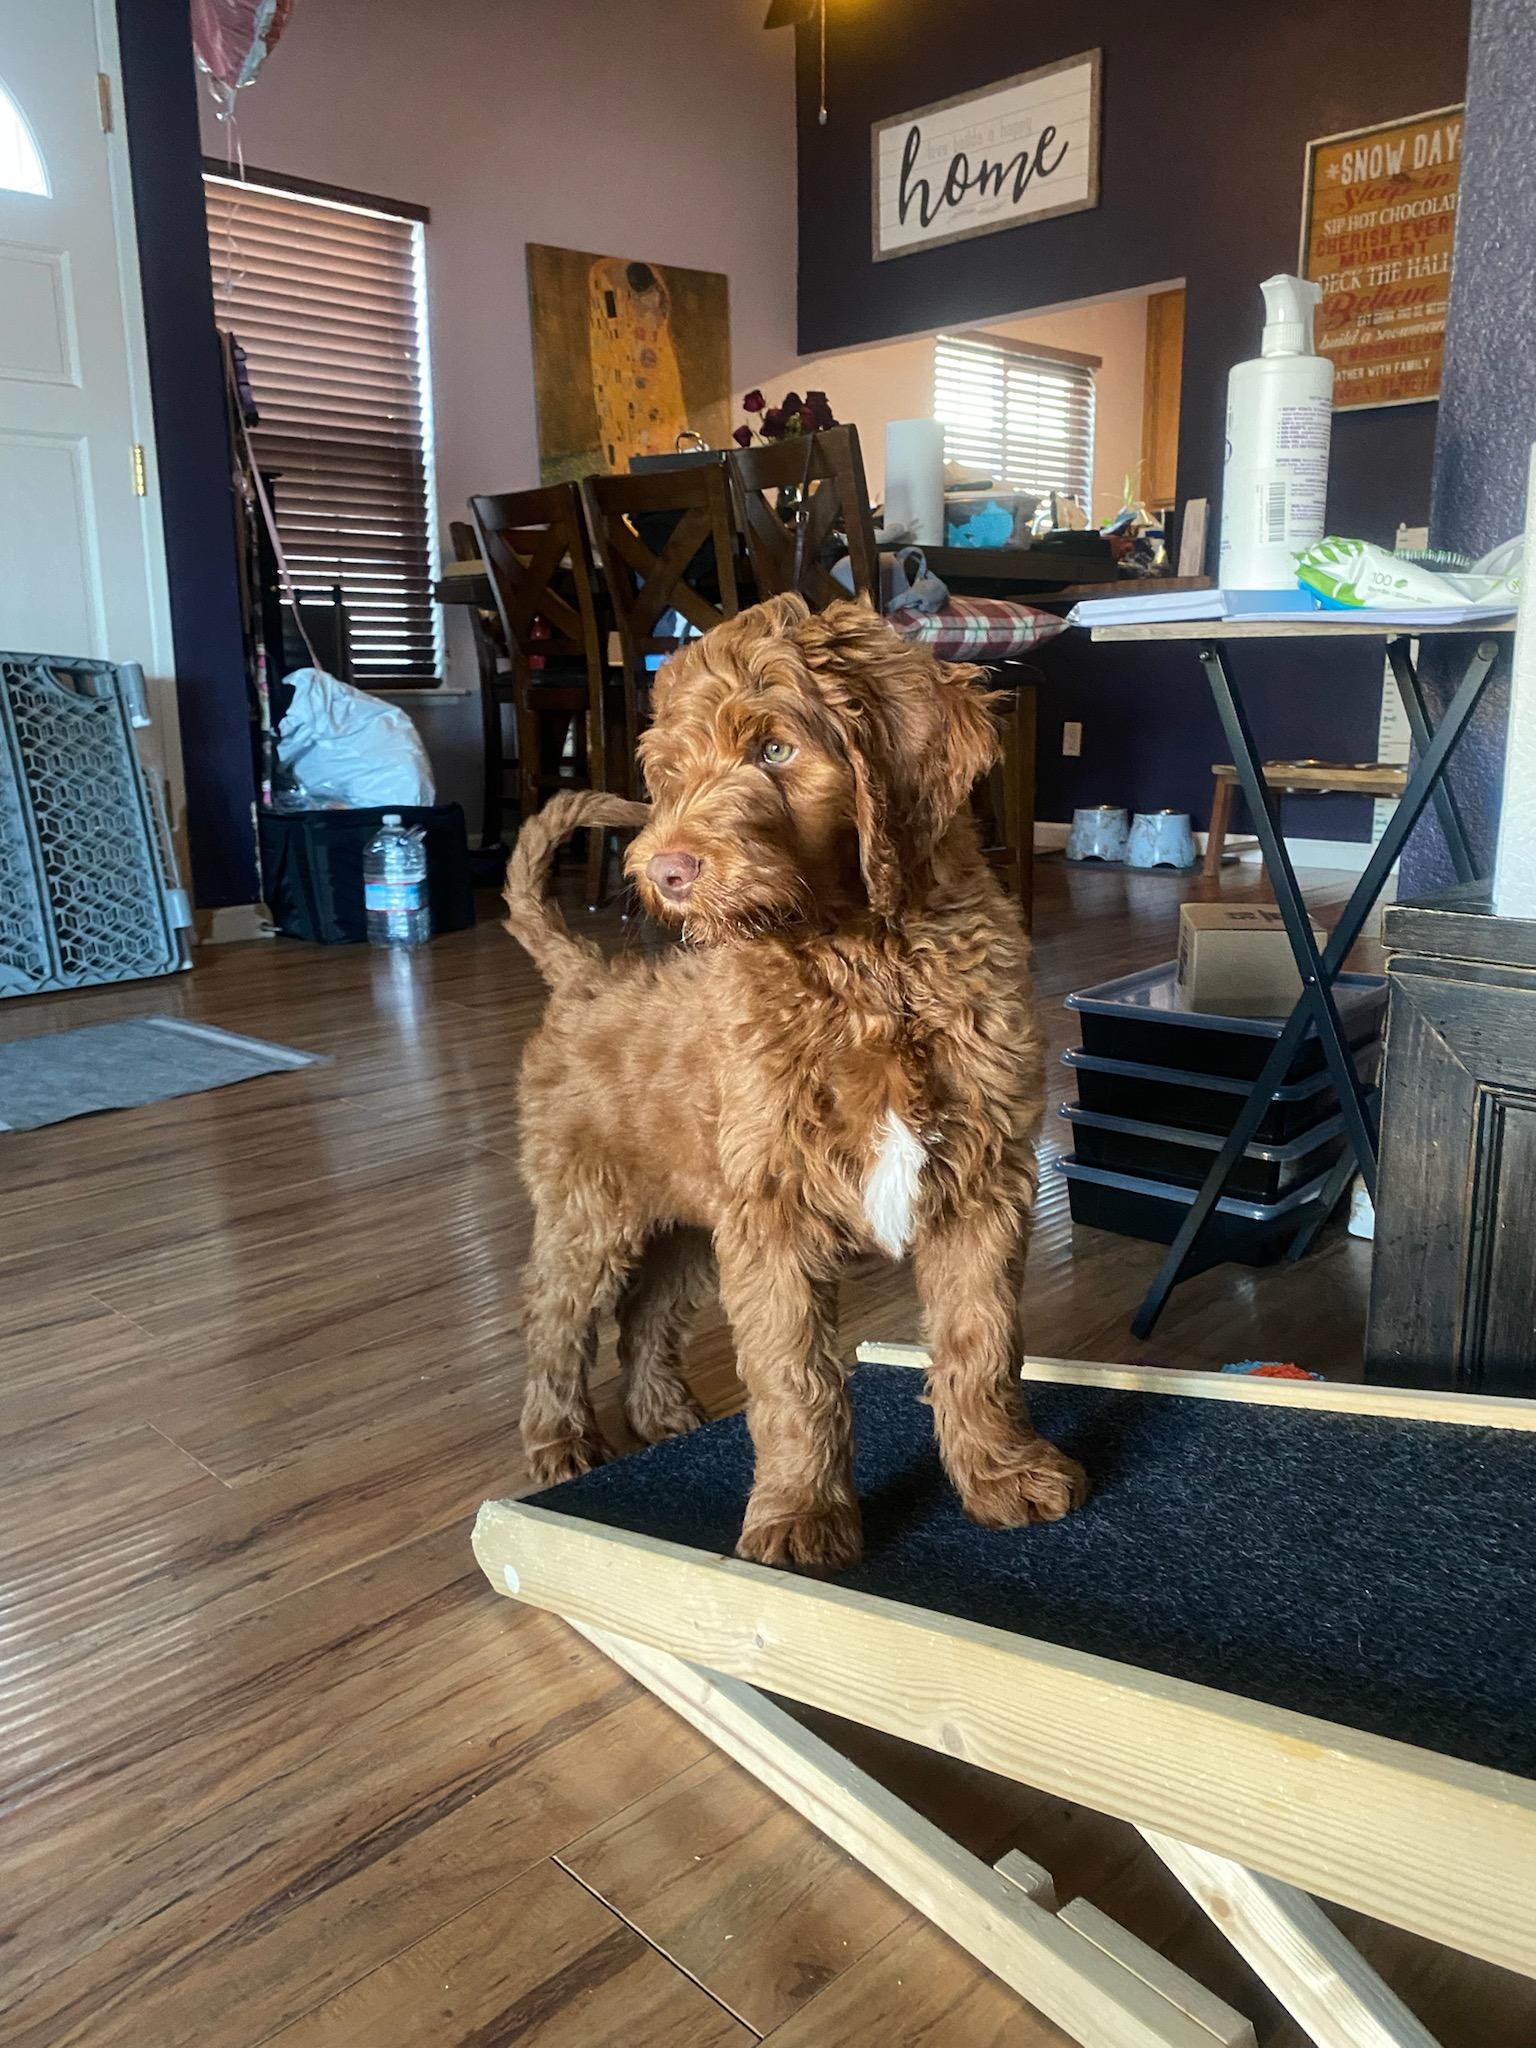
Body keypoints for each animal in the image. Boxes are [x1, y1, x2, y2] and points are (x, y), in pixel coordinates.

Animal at [504, 595, 1087, 1571]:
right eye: (669, 774)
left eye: (775, 750)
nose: (661, 872)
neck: (866, 970)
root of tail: (585, 974)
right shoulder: (774, 1211)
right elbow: (792, 1376)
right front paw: (799, 1517)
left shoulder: (980, 1184)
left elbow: (981, 1340)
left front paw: (1001, 1473)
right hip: (591, 1204)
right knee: (556, 1319)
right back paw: (559, 1440)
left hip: (690, 1217)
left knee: (649, 1311)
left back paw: (662, 1412)